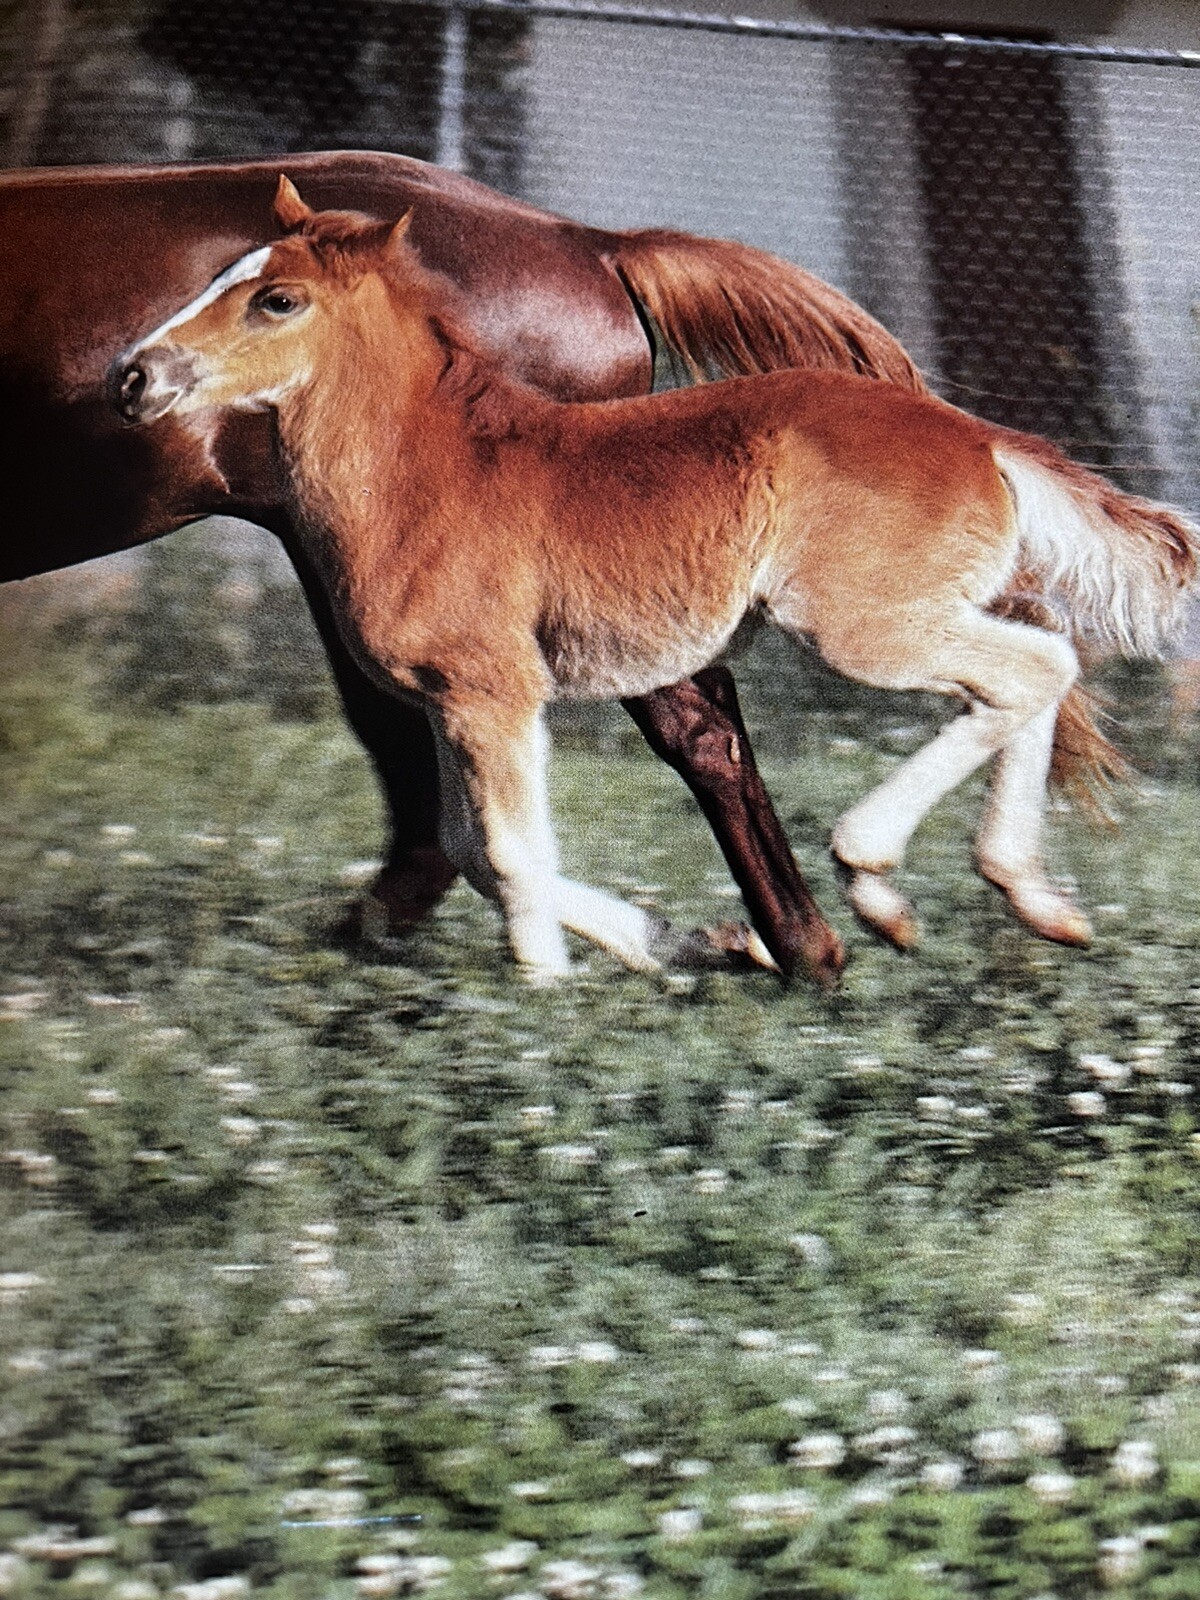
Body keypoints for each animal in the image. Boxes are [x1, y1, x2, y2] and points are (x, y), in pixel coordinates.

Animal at [112, 184, 1200, 979]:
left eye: (277, 298)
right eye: (222, 276)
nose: (134, 375)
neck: (425, 471)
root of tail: (978, 437)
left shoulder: (494, 693)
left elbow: (508, 855)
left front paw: (543, 1009)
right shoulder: (447, 700)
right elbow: (474, 852)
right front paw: (691, 945)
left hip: (863, 626)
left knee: (1031, 670)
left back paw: (880, 877)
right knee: (1035, 671)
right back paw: (1031, 903)